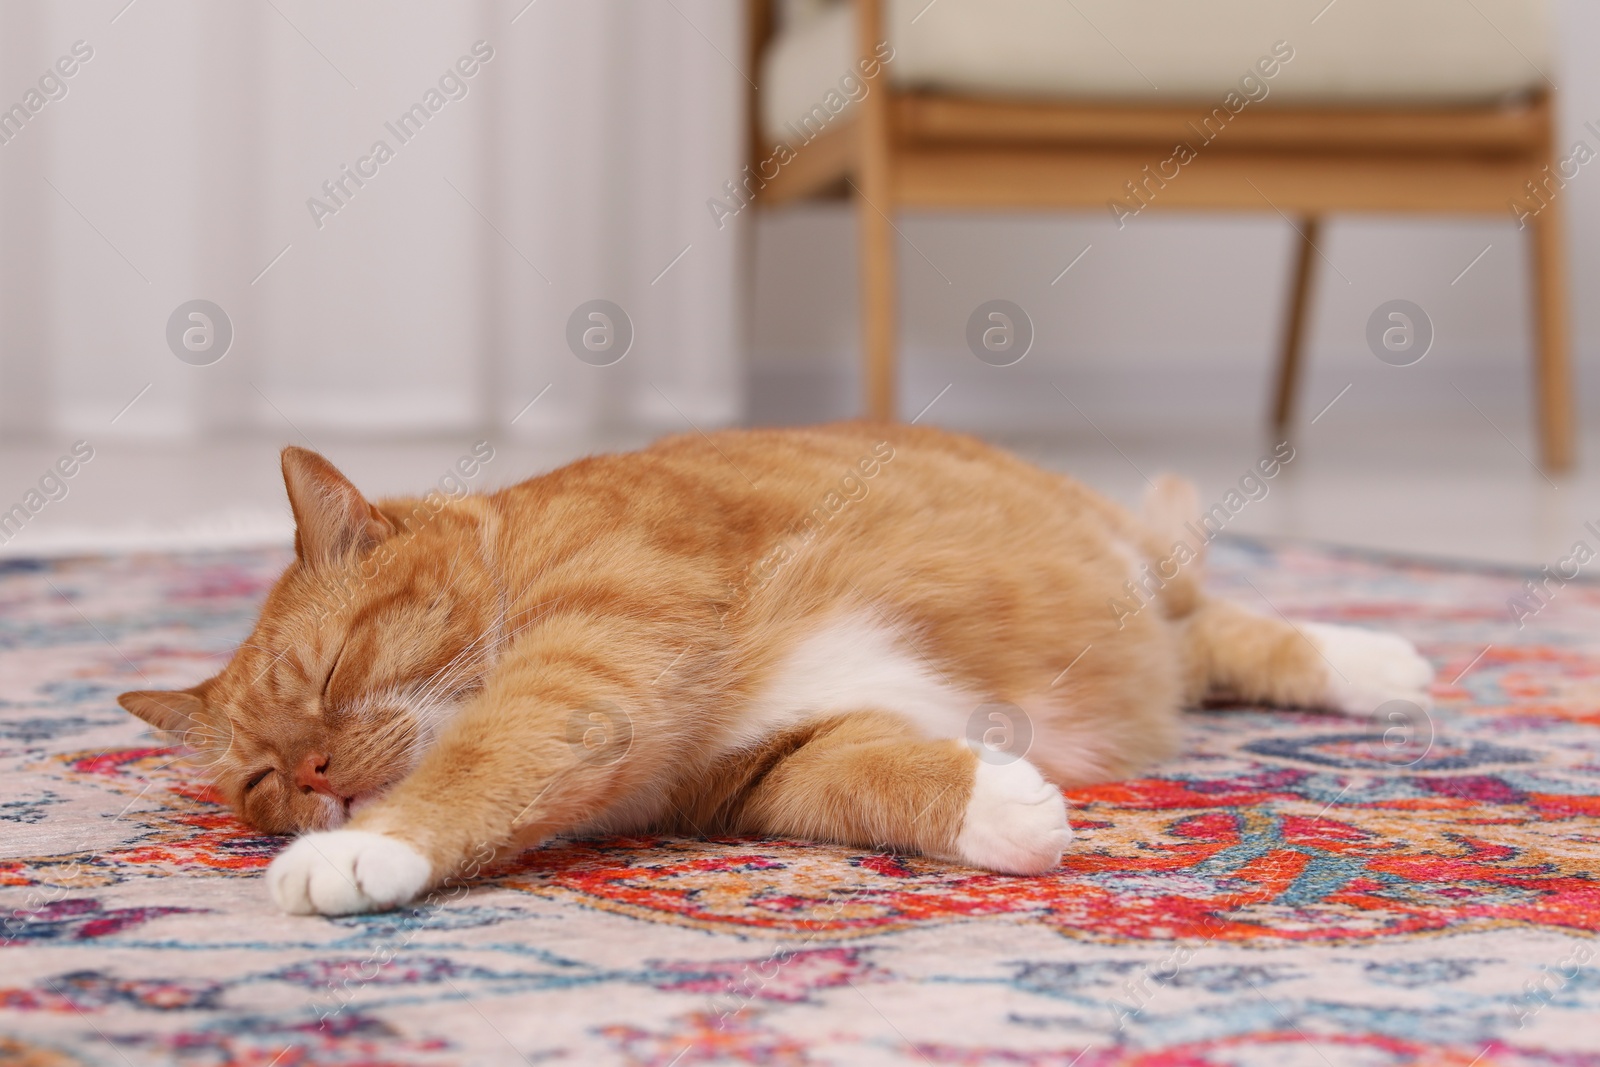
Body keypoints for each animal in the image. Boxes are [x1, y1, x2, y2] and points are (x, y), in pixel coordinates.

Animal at [118, 425, 1433, 921]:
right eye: (257, 780)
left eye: (334, 668)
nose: (315, 776)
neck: (514, 558)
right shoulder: (769, 768)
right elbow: (872, 777)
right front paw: (1004, 806)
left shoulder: (594, 657)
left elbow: (491, 749)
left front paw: (357, 849)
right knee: (1211, 644)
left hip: (1140, 580)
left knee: (1228, 625)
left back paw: (1378, 659)